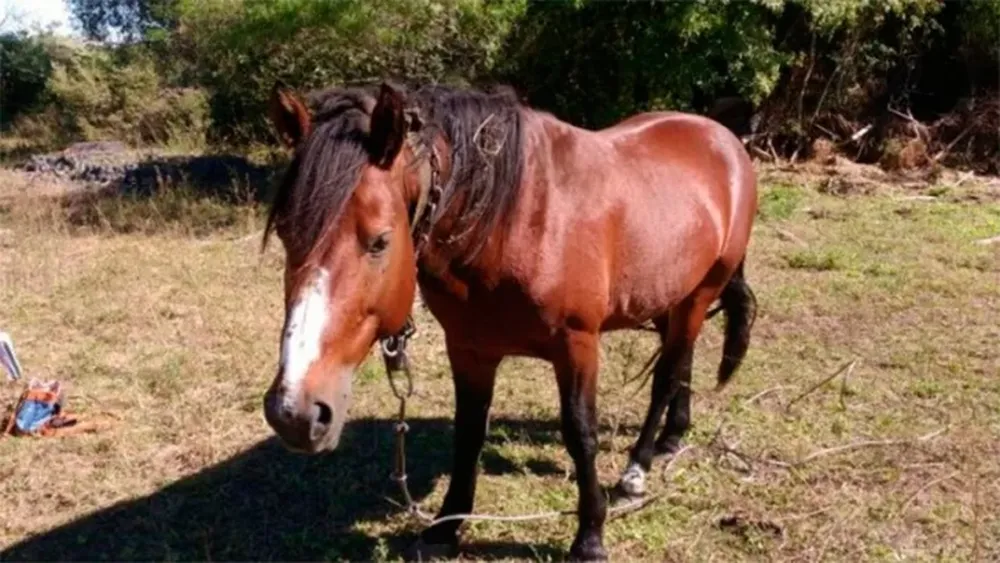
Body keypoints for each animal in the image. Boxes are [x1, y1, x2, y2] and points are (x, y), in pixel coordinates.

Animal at [260, 79, 758, 561]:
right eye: (285, 233)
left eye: (380, 241)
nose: (294, 413)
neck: (513, 222)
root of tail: (723, 139)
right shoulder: (469, 349)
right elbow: (468, 432)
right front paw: (446, 527)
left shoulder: (577, 345)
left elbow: (581, 432)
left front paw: (589, 536)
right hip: (670, 294)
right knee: (680, 361)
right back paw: (673, 436)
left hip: (700, 293)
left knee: (667, 374)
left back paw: (638, 468)